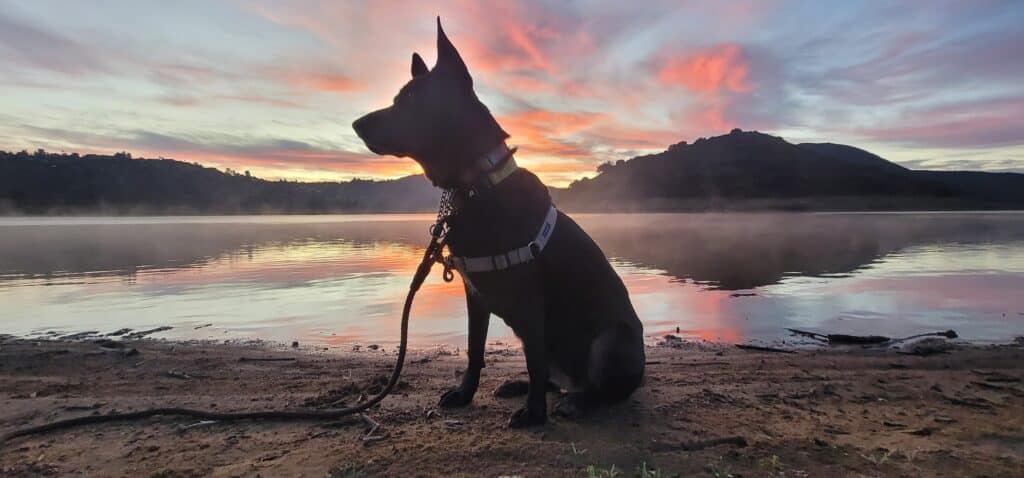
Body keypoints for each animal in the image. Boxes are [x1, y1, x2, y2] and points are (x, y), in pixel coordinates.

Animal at [350, 19, 638, 429]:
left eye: (411, 100)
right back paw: (524, 388)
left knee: (599, 389)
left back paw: (577, 402)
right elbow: (475, 350)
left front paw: (534, 414)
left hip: (611, 343)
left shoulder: (531, 300)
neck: (476, 186)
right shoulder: (475, 295)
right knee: (553, 376)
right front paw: (466, 394)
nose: (356, 125)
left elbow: (533, 360)